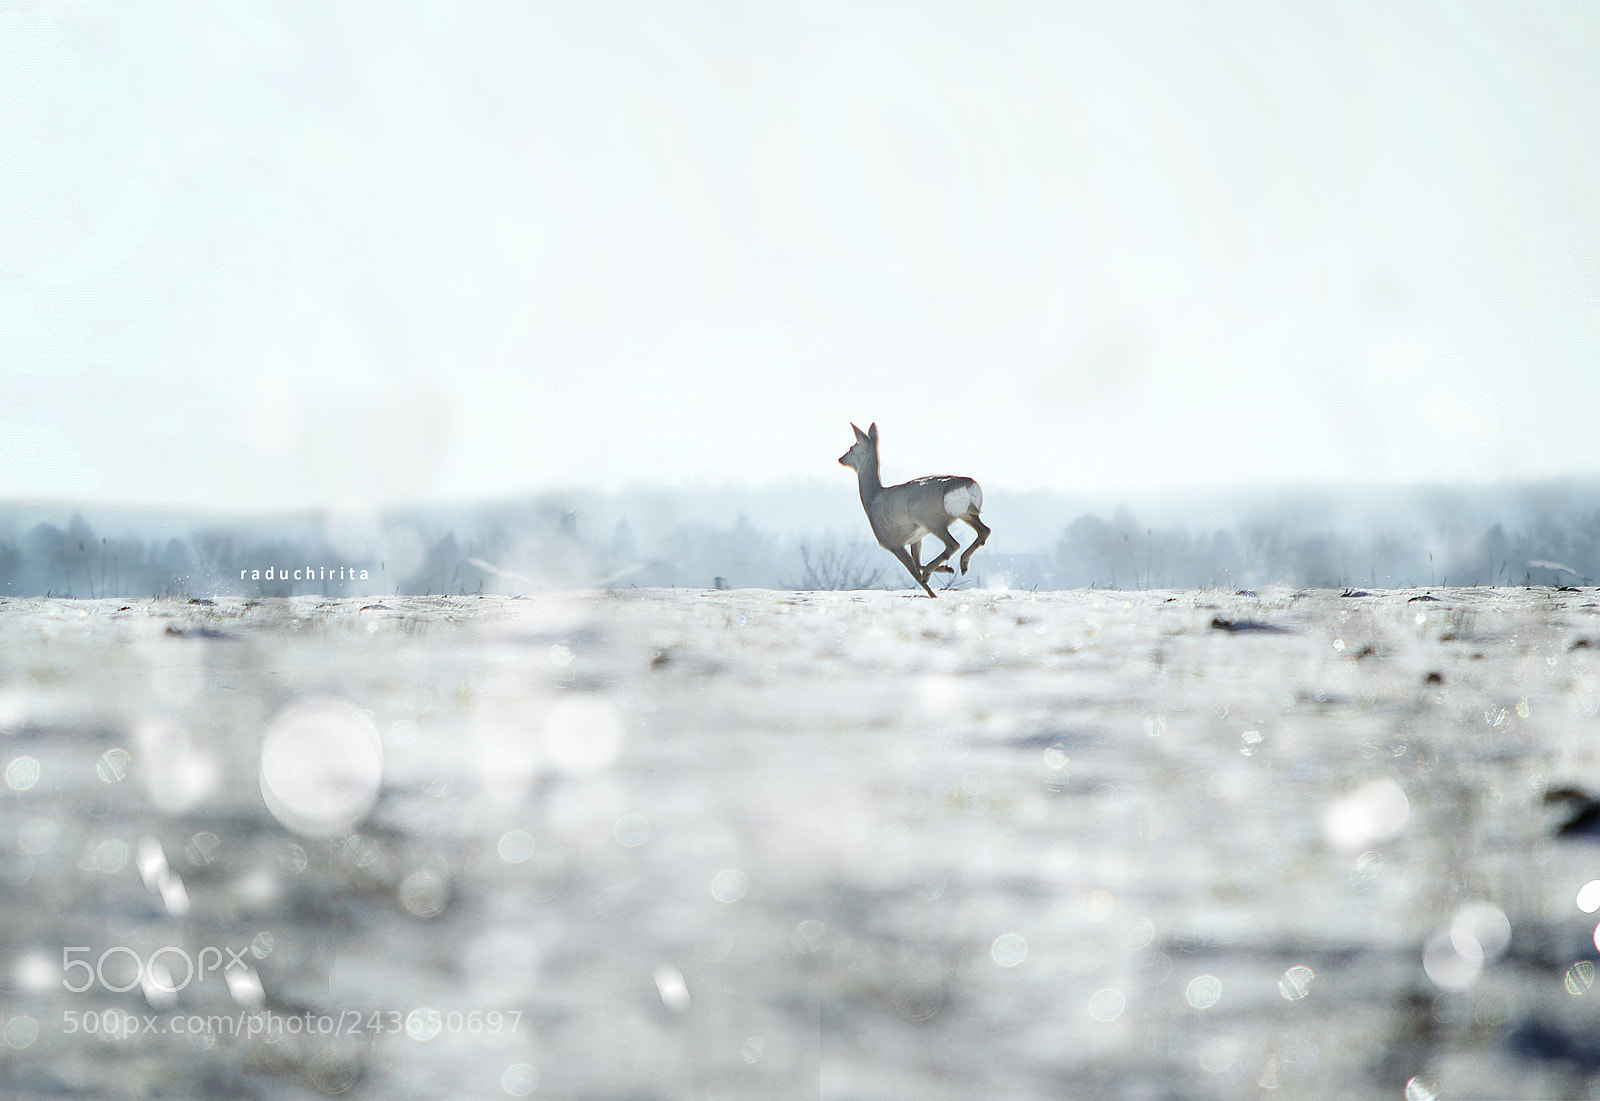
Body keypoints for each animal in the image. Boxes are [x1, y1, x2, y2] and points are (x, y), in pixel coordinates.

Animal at [838, 422, 990, 597]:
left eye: (852, 447)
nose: (840, 459)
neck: (872, 498)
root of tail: (966, 484)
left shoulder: (892, 542)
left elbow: (914, 572)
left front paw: (932, 591)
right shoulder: (916, 538)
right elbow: (917, 563)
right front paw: (947, 569)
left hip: (932, 519)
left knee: (953, 544)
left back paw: (932, 572)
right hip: (965, 513)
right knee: (984, 531)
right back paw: (962, 564)